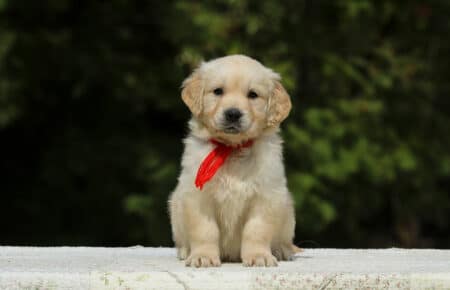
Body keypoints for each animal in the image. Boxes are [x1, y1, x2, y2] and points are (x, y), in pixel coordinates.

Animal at [169, 54, 298, 268]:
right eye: (218, 91)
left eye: (253, 95)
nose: (233, 114)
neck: (232, 149)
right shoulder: (198, 197)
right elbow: (205, 230)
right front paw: (203, 256)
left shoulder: (266, 195)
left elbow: (257, 230)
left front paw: (259, 256)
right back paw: (185, 250)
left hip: (287, 209)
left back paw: (281, 250)